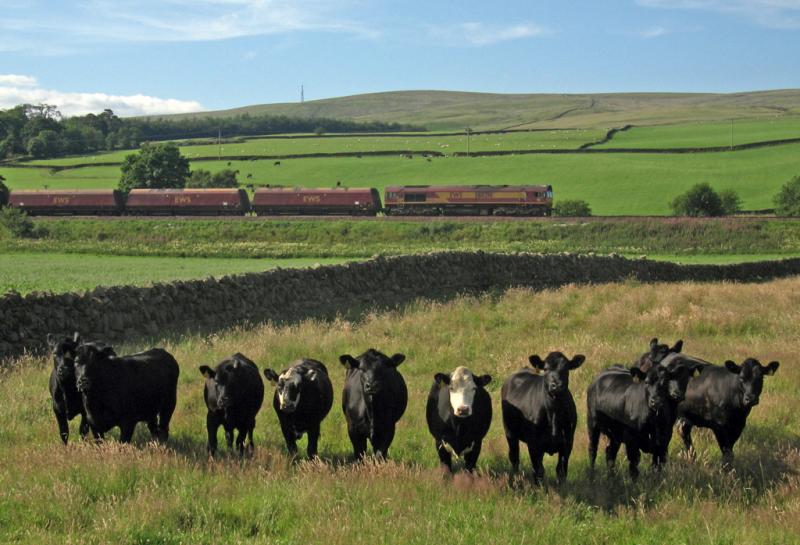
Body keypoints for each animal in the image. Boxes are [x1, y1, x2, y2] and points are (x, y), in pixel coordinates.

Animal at [504, 352, 584, 484]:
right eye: (546, 369)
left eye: (566, 368)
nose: (557, 386)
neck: (554, 414)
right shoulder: (533, 443)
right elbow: (538, 470)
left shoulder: (568, 441)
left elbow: (561, 470)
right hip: (510, 432)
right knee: (514, 458)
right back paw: (516, 478)